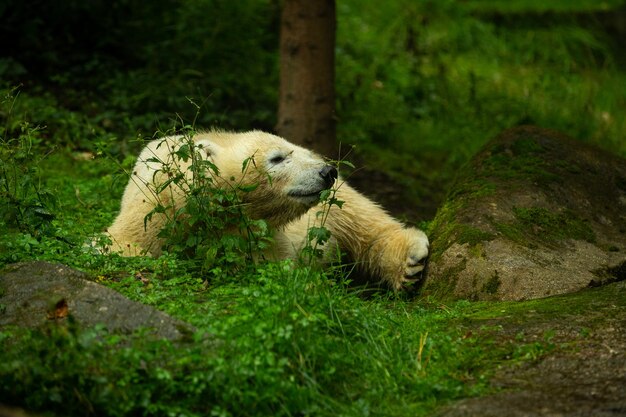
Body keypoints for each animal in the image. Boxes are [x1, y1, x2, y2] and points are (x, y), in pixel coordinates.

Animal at [105, 131, 426, 290]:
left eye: (302, 153)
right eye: (278, 157)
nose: (327, 171)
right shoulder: (151, 208)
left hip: (334, 207)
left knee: (362, 219)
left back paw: (409, 261)